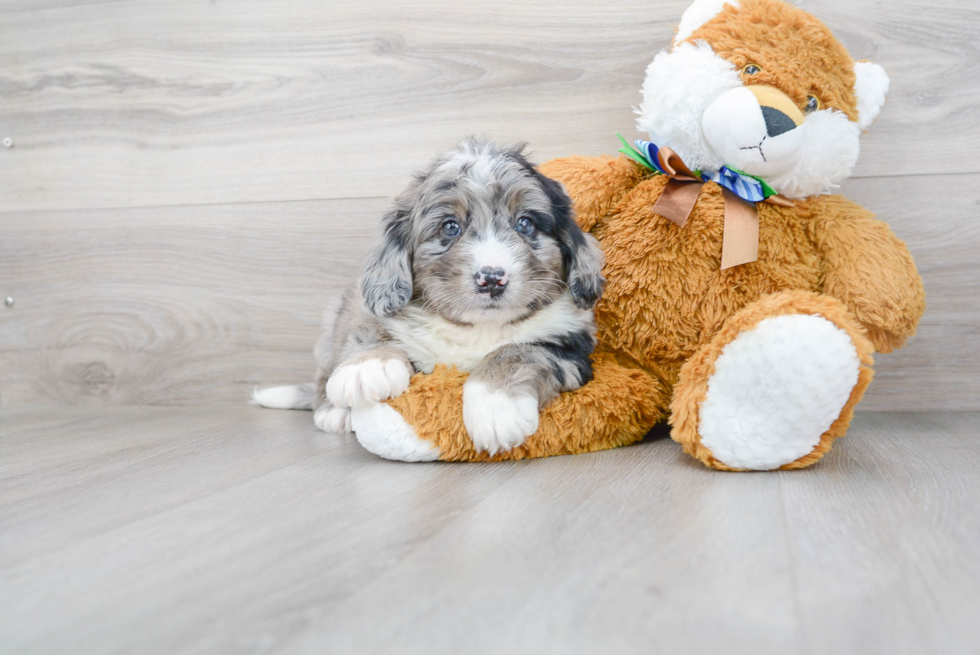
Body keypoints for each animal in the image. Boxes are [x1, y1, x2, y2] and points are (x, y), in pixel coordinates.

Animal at [253, 138, 604, 456]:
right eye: (450, 227)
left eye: (525, 223)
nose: (491, 278)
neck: (477, 329)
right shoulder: (370, 311)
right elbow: (371, 331)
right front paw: (368, 367)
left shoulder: (569, 348)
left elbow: (518, 351)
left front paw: (495, 407)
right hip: (331, 329)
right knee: (322, 377)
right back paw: (334, 412)